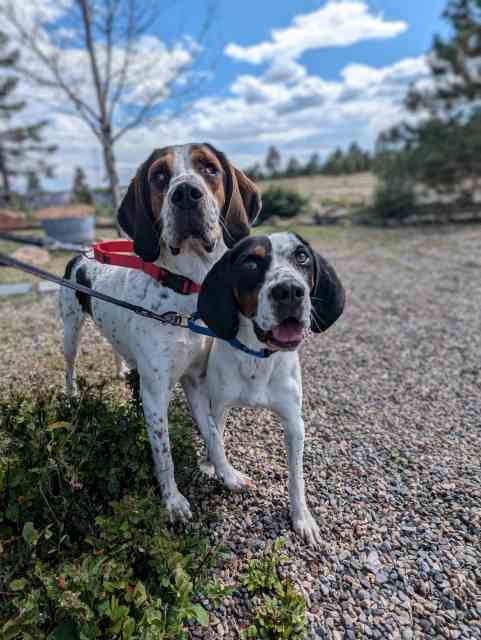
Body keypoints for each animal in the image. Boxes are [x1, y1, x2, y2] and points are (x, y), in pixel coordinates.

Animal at [58, 145, 260, 524]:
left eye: (210, 168)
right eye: (159, 176)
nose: (186, 193)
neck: (185, 290)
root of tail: (84, 251)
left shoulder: (196, 380)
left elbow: (213, 435)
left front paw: (226, 475)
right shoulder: (154, 394)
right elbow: (164, 455)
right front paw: (173, 502)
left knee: (115, 346)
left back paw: (122, 369)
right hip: (70, 330)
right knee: (69, 364)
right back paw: (72, 394)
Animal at [196, 234, 344, 544]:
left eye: (301, 256)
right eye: (251, 262)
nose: (289, 291)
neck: (258, 357)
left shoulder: (294, 423)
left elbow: (296, 477)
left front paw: (302, 519)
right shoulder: (219, 407)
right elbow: (216, 440)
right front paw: (214, 467)